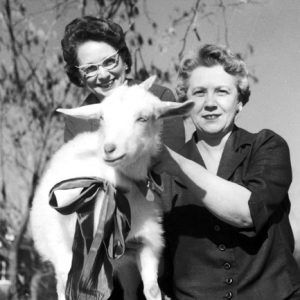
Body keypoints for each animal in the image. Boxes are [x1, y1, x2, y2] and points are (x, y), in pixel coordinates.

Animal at [29, 77, 195, 300]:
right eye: (101, 118)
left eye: (143, 118)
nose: (109, 149)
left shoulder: (147, 245)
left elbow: (152, 289)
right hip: (61, 255)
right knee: (62, 288)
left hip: (124, 264)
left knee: (130, 290)